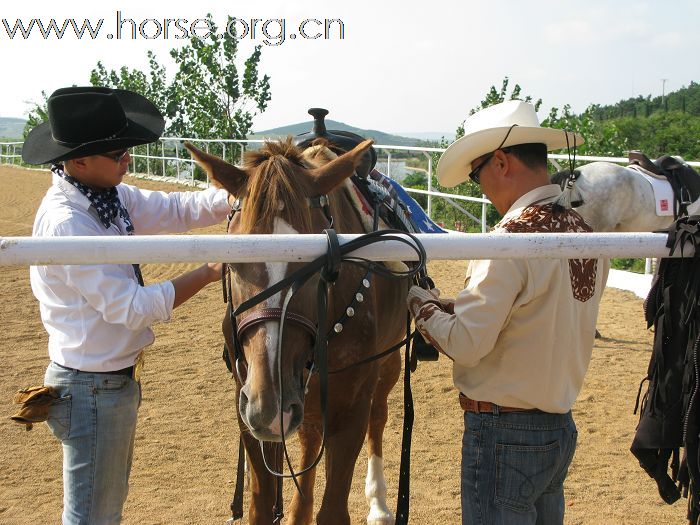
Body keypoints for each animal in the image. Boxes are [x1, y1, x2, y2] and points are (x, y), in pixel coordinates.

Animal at [185, 137, 404, 520]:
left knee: (378, 417)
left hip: (387, 365)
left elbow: (333, 511)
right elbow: (260, 506)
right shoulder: (248, 405)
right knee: (311, 434)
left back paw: (378, 504)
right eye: (234, 261)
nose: (271, 405)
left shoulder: (352, 407)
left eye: (318, 266)